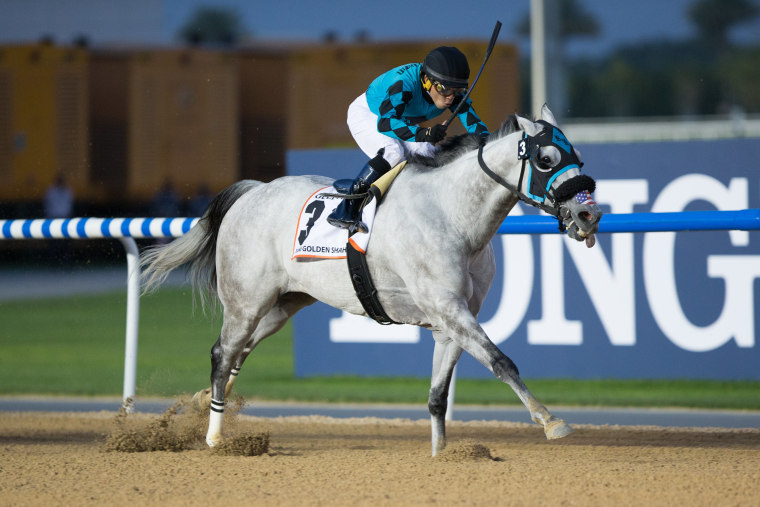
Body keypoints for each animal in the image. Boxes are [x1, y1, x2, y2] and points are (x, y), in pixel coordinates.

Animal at [140, 104, 604, 456]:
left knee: (240, 351)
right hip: (245, 301)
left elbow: (438, 396)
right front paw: (551, 421)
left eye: (578, 155)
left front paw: (441, 455)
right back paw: (215, 436)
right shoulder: (449, 309)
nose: (588, 214)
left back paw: (203, 400)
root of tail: (252, 191)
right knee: (223, 353)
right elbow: (501, 361)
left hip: (283, 305)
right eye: (546, 159)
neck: (453, 215)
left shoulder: (453, 319)